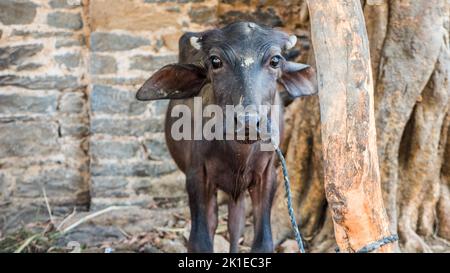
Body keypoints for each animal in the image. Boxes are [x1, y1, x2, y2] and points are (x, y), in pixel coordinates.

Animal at [135, 22, 314, 252]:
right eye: (215, 61)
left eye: (275, 61)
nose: (248, 122)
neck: (238, 153)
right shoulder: (197, 175)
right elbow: (200, 239)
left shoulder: (267, 175)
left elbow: (263, 240)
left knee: (235, 223)